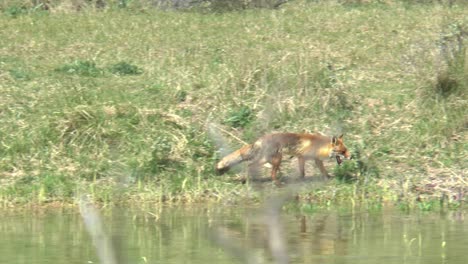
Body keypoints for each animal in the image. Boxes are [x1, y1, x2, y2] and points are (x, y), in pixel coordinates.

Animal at [214, 133, 350, 183]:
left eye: (346, 149)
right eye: (343, 151)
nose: (351, 156)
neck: (320, 146)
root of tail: (259, 139)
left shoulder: (301, 158)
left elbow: (303, 172)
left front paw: (300, 180)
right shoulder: (314, 159)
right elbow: (322, 170)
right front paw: (328, 178)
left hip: (268, 160)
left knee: (250, 165)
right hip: (277, 159)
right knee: (266, 171)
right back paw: (278, 183)